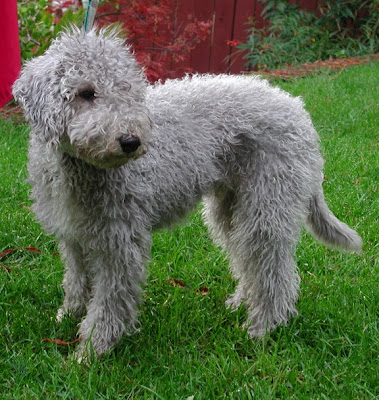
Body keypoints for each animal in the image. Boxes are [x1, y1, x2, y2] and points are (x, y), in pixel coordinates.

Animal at [12, 28, 362, 360]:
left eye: (129, 91)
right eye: (85, 93)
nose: (131, 141)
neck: (79, 168)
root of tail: (299, 112)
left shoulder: (120, 242)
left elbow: (110, 302)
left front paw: (91, 352)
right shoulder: (74, 234)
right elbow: (76, 281)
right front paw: (68, 318)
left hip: (268, 205)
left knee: (274, 274)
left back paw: (263, 328)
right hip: (232, 208)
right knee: (250, 263)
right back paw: (241, 303)